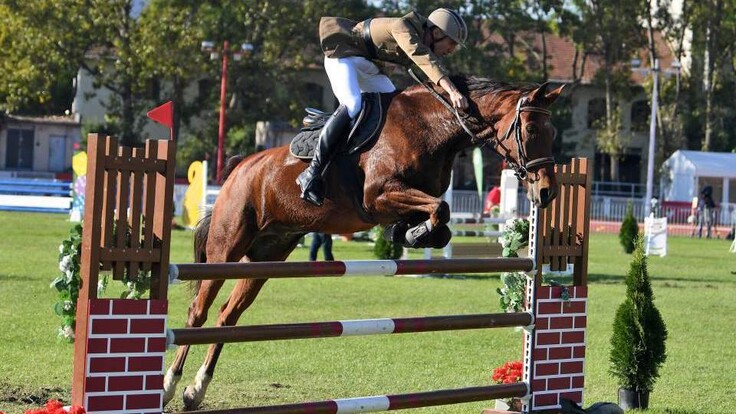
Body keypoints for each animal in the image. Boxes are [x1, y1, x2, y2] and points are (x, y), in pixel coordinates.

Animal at [162, 74, 564, 408]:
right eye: (530, 128)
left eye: (553, 131)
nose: (546, 193)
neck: (433, 126)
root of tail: (240, 168)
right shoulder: (379, 196)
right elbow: (441, 208)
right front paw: (414, 233)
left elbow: (442, 218)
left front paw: (410, 233)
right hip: (227, 248)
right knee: (198, 311)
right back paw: (170, 385)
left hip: (266, 257)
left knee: (228, 316)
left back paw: (197, 389)